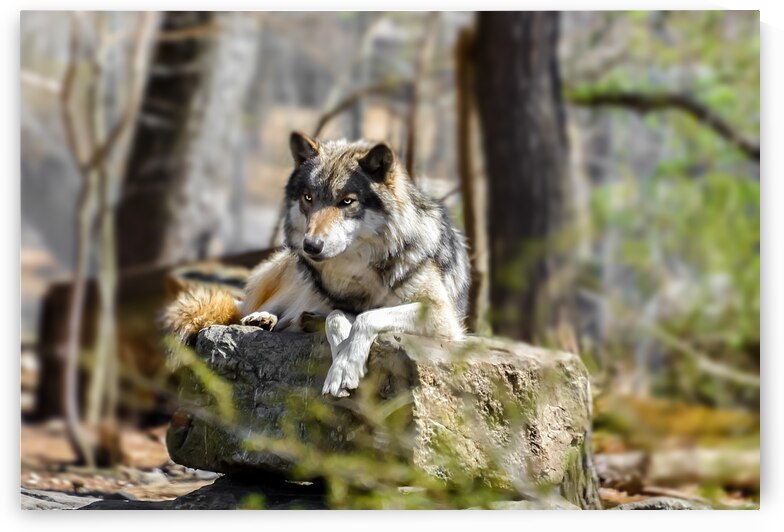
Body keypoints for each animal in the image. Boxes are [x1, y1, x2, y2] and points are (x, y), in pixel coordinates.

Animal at [164, 132, 470, 397]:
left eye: (347, 201)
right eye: (308, 197)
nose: (310, 246)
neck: (359, 267)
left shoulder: (442, 317)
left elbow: (367, 317)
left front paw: (345, 362)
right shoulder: (333, 302)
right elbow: (336, 318)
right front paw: (341, 361)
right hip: (293, 276)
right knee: (250, 308)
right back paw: (262, 318)